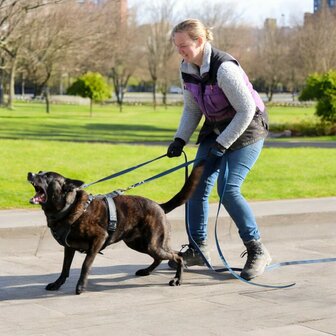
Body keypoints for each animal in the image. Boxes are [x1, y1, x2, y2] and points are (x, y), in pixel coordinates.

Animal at [27, 162, 203, 294]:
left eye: (46, 177)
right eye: (40, 172)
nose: (30, 173)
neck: (69, 207)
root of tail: (160, 206)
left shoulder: (98, 240)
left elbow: (85, 265)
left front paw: (81, 286)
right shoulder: (68, 248)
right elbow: (64, 268)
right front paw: (57, 284)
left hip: (153, 244)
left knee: (178, 256)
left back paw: (178, 278)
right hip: (139, 244)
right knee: (161, 257)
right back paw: (146, 271)